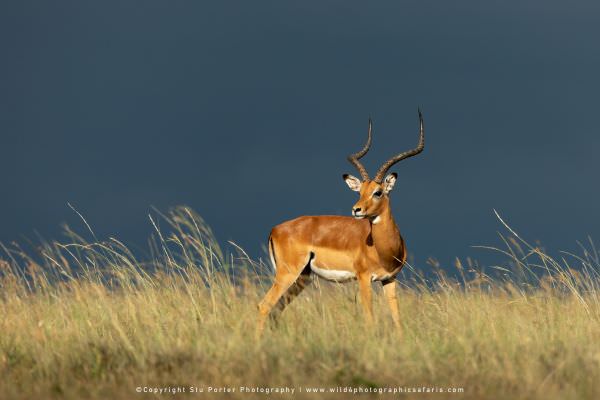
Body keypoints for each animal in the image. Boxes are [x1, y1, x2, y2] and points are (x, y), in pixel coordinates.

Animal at [258, 109, 426, 334]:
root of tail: (275, 229)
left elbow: (397, 319)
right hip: (288, 274)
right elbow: (369, 319)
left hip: (301, 278)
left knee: (276, 309)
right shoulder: (364, 279)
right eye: (360, 191)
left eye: (378, 192)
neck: (384, 248)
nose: (356, 209)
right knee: (264, 305)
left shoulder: (390, 279)